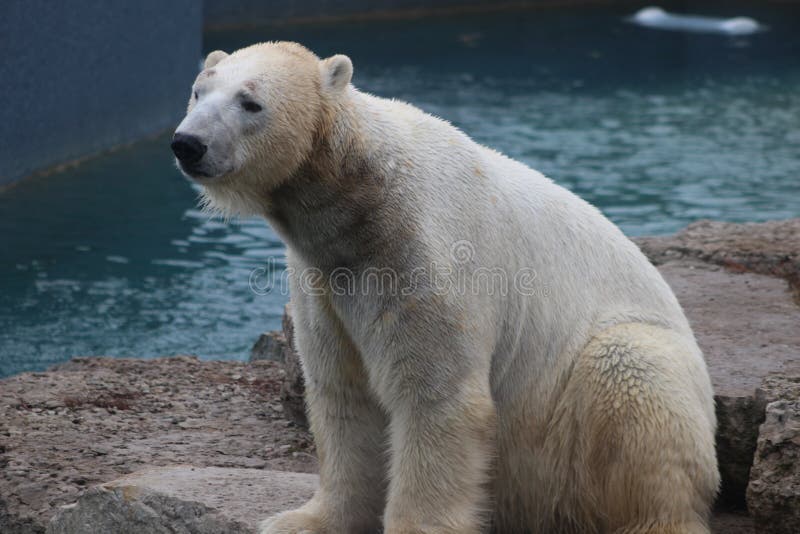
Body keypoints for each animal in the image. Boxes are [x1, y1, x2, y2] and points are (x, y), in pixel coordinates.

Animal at [171, 42, 719, 534]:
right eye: (198, 91)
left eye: (251, 101)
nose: (187, 143)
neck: (359, 200)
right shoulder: (323, 280)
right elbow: (343, 394)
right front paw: (303, 520)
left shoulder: (425, 255)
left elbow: (436, 395)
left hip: (593, 398)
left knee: (630, 375)